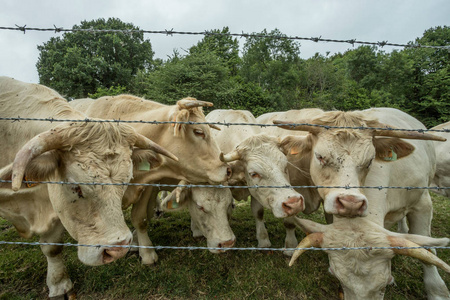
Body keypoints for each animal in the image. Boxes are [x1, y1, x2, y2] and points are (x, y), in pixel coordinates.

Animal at [206, 109, 304, 250]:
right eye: (253, 174)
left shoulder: (255, 192)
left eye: (285, 166)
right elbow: (226, 210)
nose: (294, 203)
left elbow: (258, 212)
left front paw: (263, 240)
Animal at [274, 107, 450, 298]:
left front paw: (437, 291)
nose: (351, 203)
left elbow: (429, 249)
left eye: (370, 160)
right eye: (320, 157)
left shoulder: (422, 204)